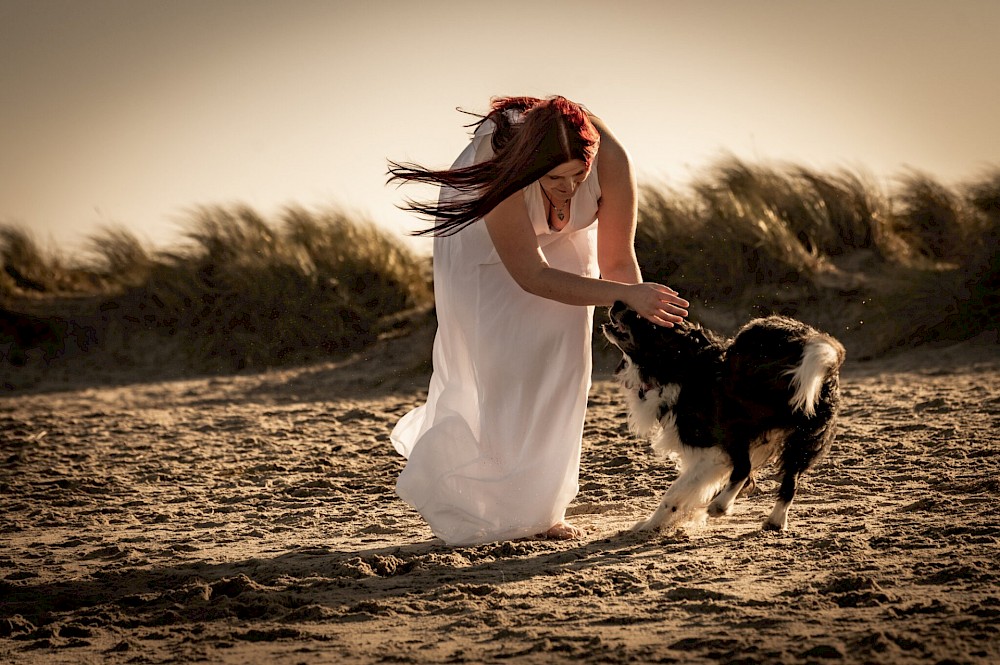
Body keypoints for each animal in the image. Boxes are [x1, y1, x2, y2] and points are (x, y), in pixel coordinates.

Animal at [600, 304, 844, 532]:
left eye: (647, 320)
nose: (618, 301)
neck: (682, 366)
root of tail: (805, 343)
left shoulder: (711, 450)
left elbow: (674, 493)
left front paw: (651, 525)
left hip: (734, 425)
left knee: (744, 468)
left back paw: (721, 506)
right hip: (803, 439)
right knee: (789, 481)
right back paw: (775, 521)